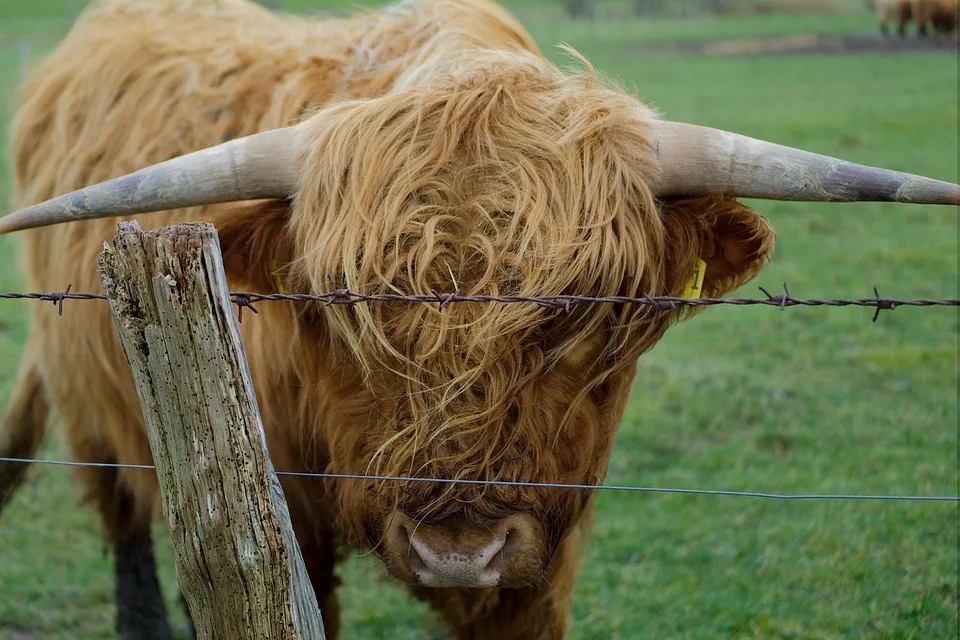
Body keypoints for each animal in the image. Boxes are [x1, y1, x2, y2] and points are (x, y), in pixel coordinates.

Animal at [0, 0, 956, 636]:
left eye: (578, 315)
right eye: (344, 306)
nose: (456, 551)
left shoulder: (546, 542)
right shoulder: (284, 530)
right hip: (94, 400)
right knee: (122, 522)